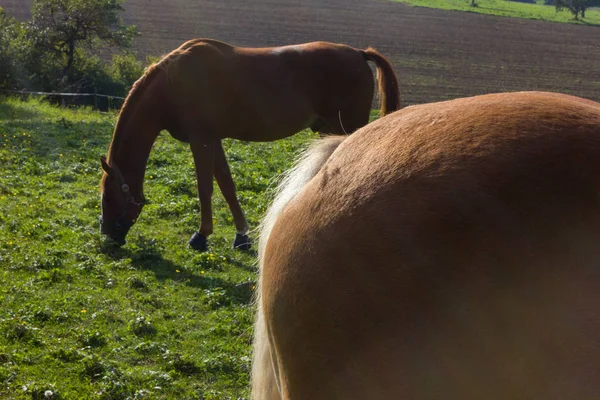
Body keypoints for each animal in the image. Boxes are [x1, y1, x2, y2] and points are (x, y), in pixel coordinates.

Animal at [97, 37, 398, 250]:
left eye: (108, 196)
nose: (108, 235)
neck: (173, 86)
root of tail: (358, 53)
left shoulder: (201, 140)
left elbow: (205, 188)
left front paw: (201, 236)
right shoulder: (213, 140)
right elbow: (226, 185)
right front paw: (241, 235)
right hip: (329, 131)